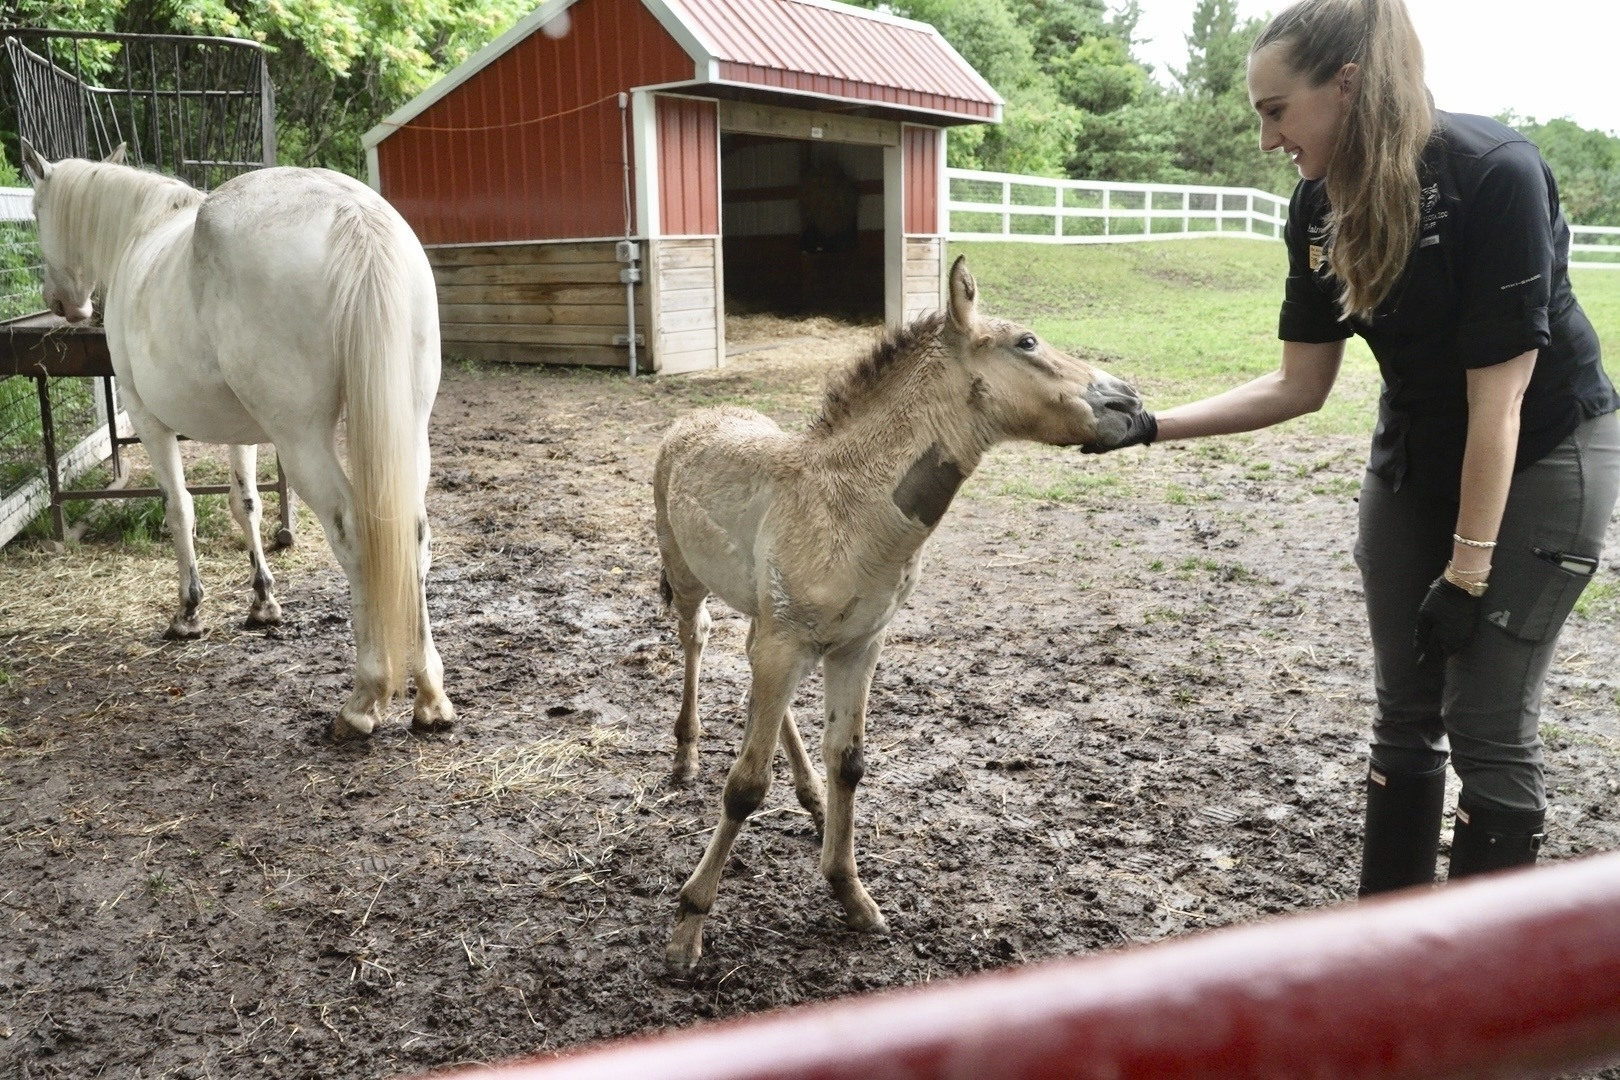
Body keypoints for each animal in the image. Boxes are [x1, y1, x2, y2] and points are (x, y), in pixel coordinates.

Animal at [19, 139, 453, 740]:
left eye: (37, 214)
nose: (63, 304)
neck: (141, 230)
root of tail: (353, 213)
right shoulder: (243, 432)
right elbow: (245, 504)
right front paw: (263, 602)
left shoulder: (148, 419)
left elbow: (179, 509)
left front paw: (188, 613)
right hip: (407, 429)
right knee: (411, 534)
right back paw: (431, 698)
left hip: (301, 439)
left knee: (354, 532)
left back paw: (363, 700)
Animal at [654, 255, 1147, 970]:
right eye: (1026, 342)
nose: (1131, 404)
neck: (848, 506)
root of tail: (698, 415)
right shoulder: (787, 642)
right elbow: (745, 785)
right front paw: (689, 925)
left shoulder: (858, 644)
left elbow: (848, 762)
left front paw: (852, 896)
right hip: (691, 579)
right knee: (696, 639)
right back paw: (686, 757)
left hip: (769, 620)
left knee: (759, 687)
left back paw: (807, 794)